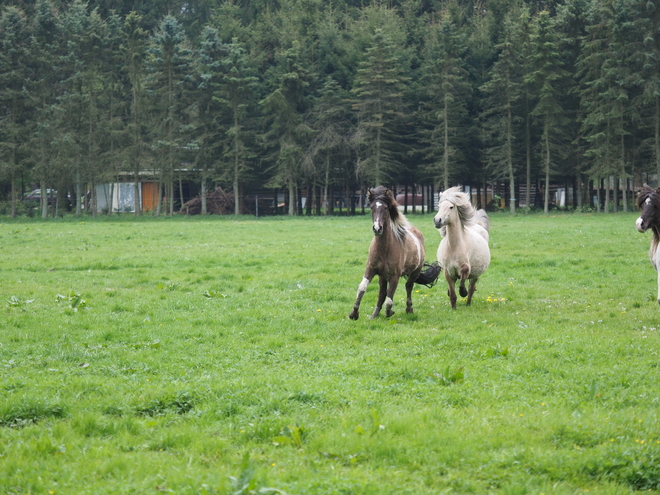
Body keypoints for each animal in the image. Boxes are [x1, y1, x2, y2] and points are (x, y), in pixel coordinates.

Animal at [348, 187, 440, 322]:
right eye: (371, 207)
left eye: (386, 208)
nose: (377, 229)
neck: (384, 250)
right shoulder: (371, 270)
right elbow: (362, 288)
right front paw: (354, 314)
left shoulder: (395, 276)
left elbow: (389, 299)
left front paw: (389, 312)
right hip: (382, 276)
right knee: (382, 293)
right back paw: (375, 314)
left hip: (415, 271)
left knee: (408, 287)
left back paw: (409, 309)